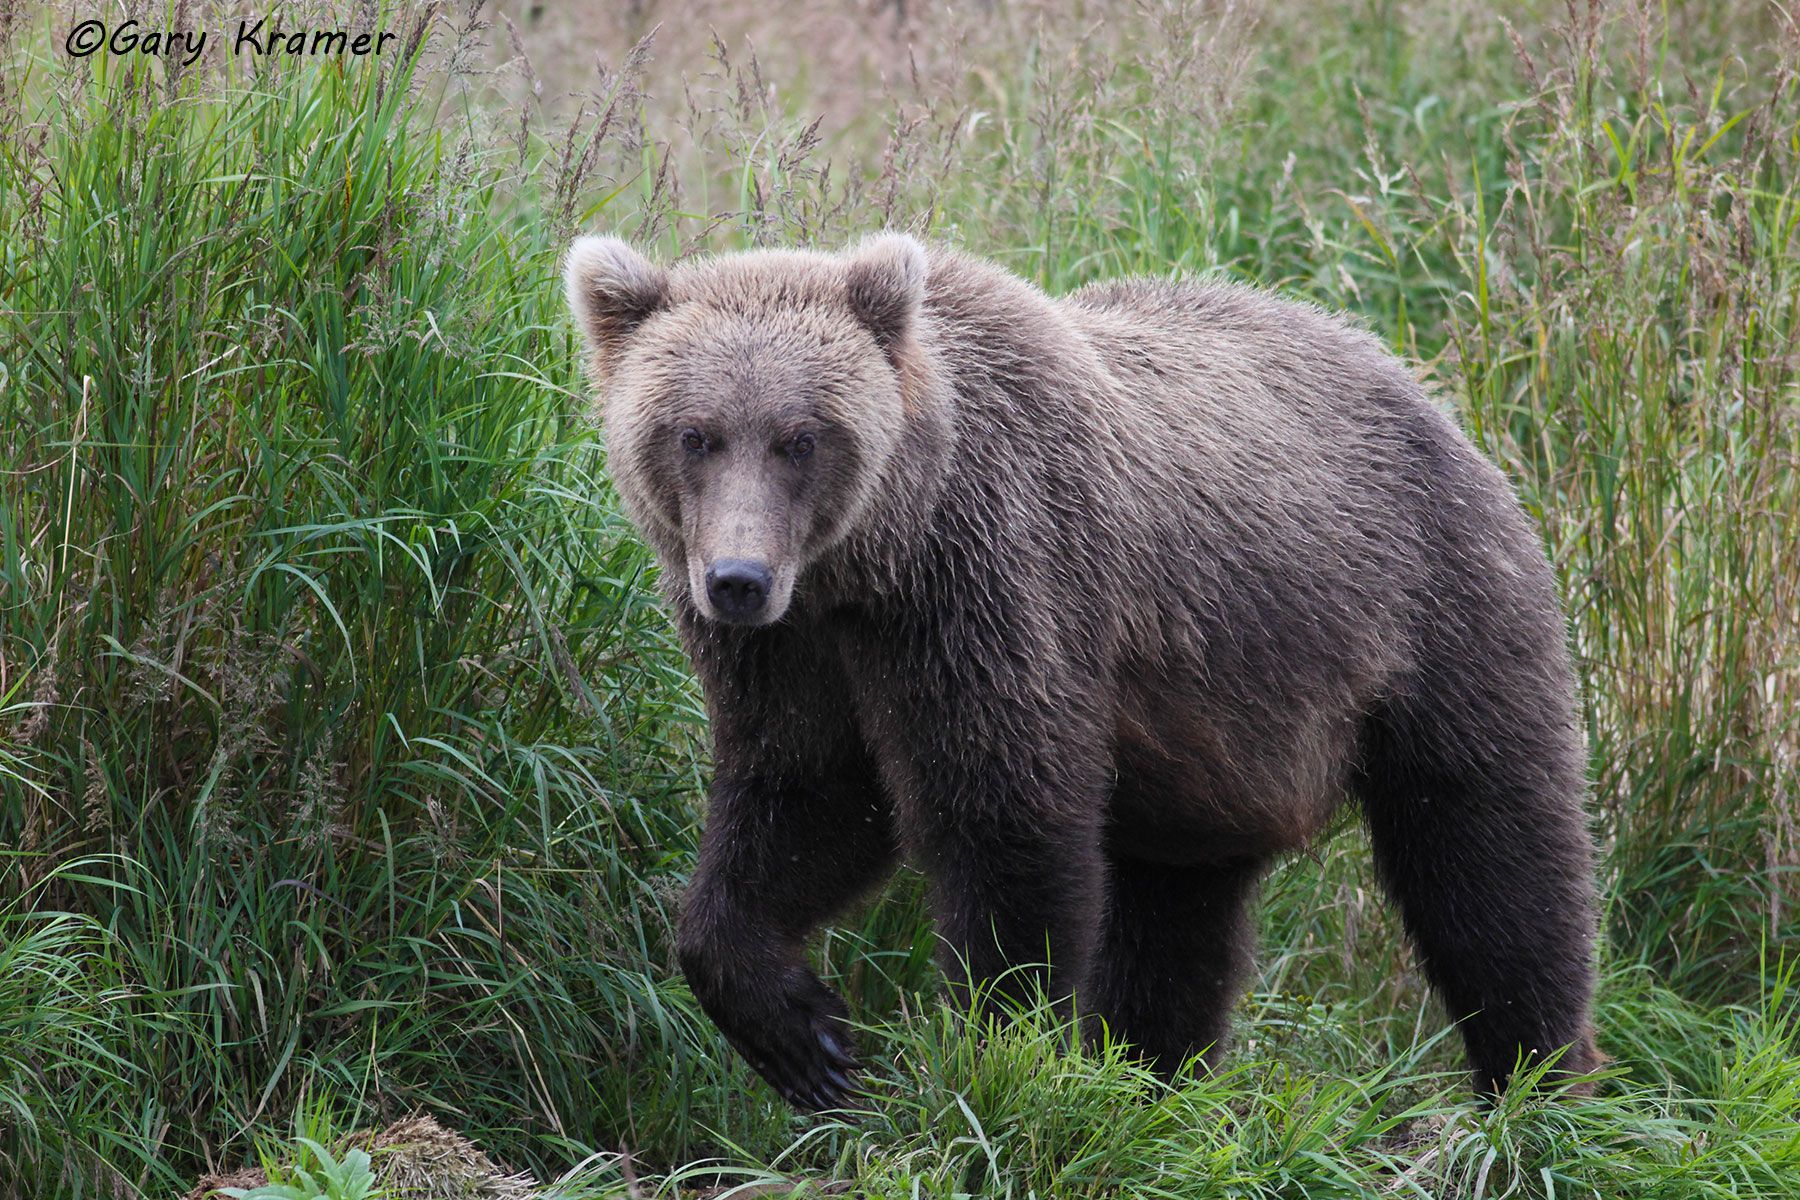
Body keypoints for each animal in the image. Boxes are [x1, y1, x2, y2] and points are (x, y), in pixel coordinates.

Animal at [565, 230, 1605, 1115]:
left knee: (1490, 859)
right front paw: (806, 1038)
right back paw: (1154, 1085)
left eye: (800, 437)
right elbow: (802, 799)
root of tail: (1433, 397)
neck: (874, 562)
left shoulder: (994, 583)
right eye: (694, 433)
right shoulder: (801, 654)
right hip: (1207, 759)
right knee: (1176, 921)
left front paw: (993, 1056)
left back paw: (1540, 1086)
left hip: (1429, 616)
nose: (738, 580)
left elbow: (1006, 820)